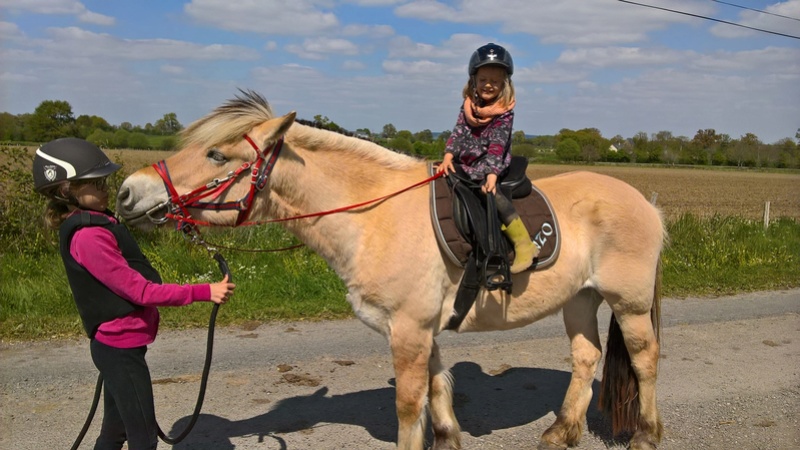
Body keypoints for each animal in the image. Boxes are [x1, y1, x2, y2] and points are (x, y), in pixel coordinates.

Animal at [115, 90, 664, 450]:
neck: (373, 216)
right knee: (586, 358)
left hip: (629, 303)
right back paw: (561, 432)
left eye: (216, 153)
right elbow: (437, 391)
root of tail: (646, 203)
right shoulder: (421, 330)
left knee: (644, 361)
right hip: (580, 298)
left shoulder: (409, 330)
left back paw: (645, 434)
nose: (127, 192)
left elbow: (408, 403)